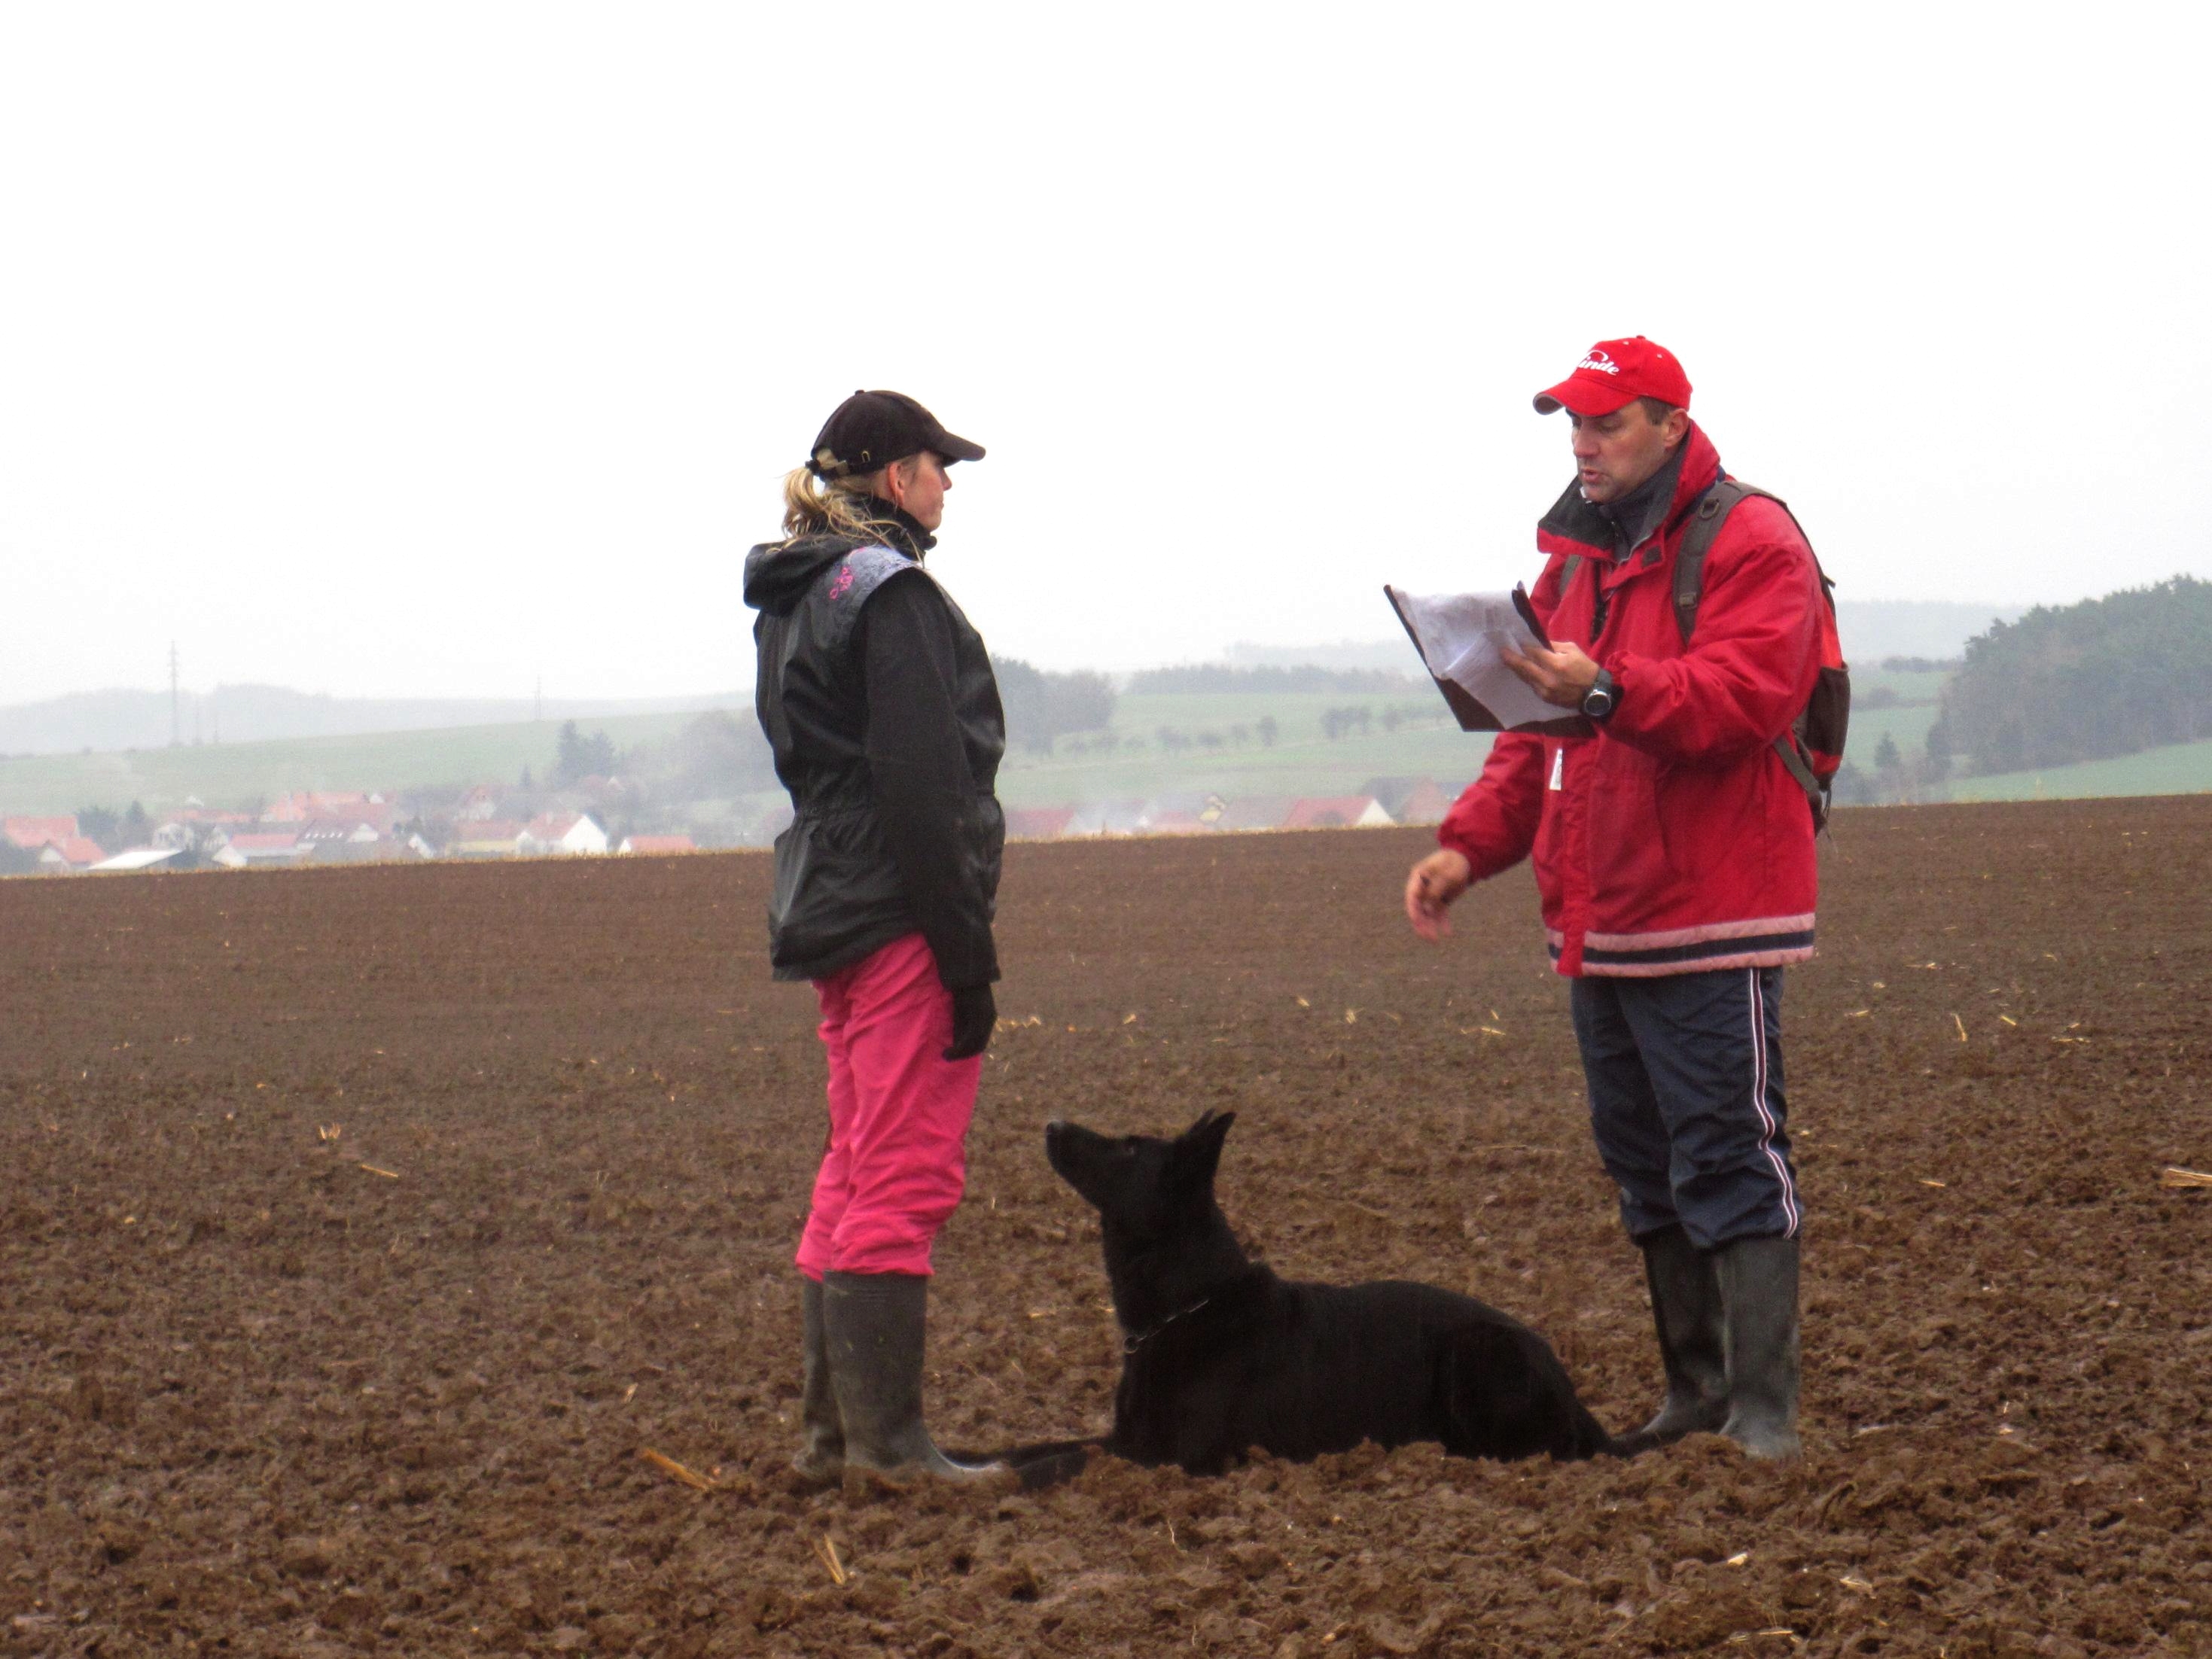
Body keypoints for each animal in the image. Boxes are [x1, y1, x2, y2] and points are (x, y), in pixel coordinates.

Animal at [1013, 1119, 1637, 1478]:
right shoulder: (1127, 1439)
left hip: (1477, 1354)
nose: (1052, 1123)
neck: (1188, 1304)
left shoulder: (1165, 1458)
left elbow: (1058, 1464)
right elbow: (1032, 1449)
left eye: (1127, 1150)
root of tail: (1570, 1388)